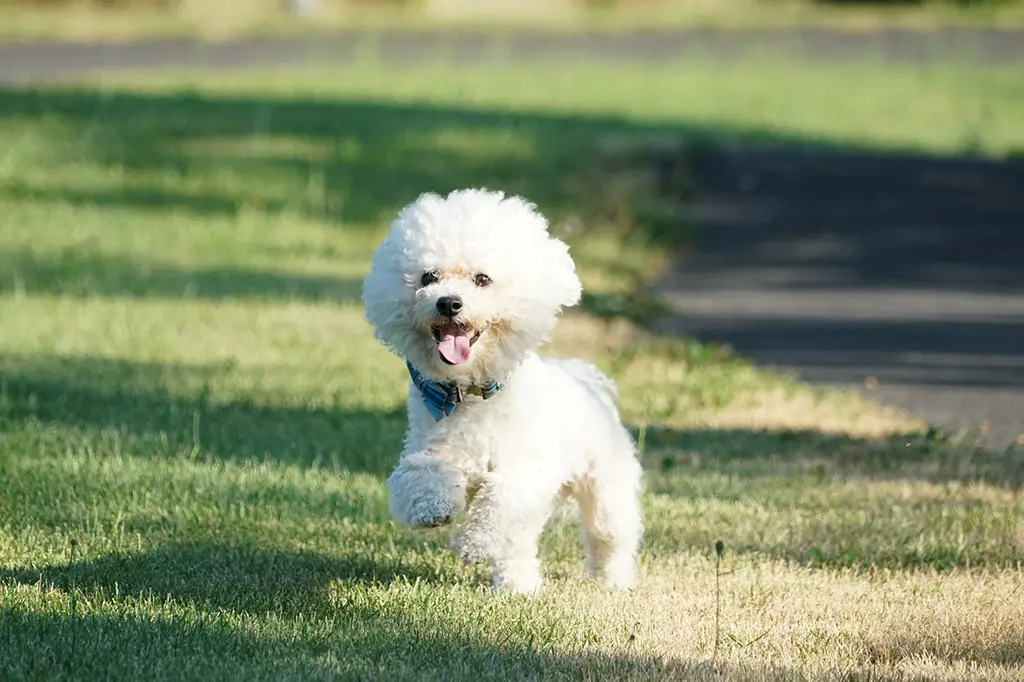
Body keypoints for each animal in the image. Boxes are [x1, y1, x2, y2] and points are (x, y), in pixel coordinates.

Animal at [364, 188, 643, 593]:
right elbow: (417, 474)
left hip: (607, 485)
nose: (449, 302)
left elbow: (501, 498)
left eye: (482, 279)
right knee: (519, 545)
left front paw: (473, 543)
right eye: (428, 276)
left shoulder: (528, 469)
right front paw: (433, 507)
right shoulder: (432, 448)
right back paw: (518, 588)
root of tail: (584, 379)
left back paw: (613, 581)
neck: (471, 393)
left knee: (609, 535)